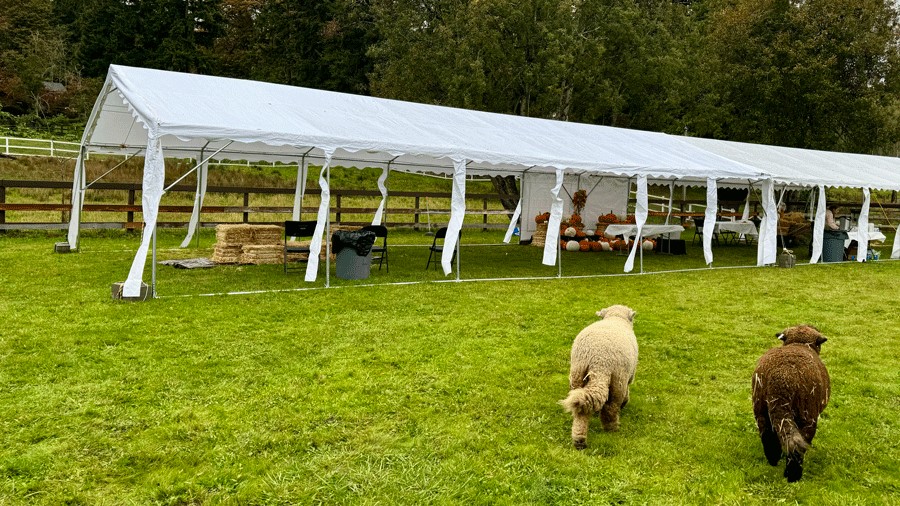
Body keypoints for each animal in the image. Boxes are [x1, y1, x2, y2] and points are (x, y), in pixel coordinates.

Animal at [560, 306, 636, 448]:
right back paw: (612, 429)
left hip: (577, 375)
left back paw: (579, 440)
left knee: (580, 409)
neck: (615, 318)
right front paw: (625, 402)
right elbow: (627, 392)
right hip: (618, 379)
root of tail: (599, 361)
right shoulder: (629, 376)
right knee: (611, 408)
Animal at [752, 326, 828, 480]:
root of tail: (781, 378)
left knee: (767, 435)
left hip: (761, 409)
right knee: (800, 445)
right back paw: (793, 476)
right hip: (808, 415)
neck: (799, 343)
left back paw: (773, 460)